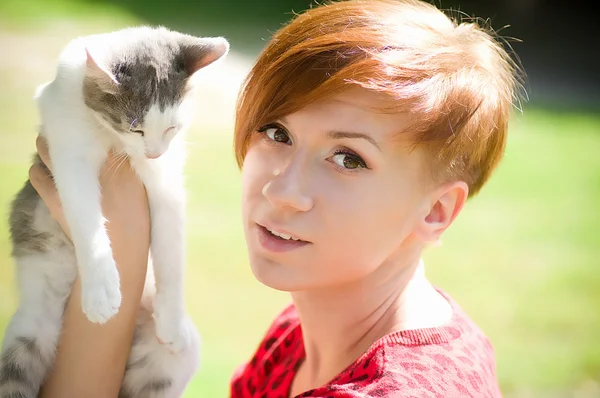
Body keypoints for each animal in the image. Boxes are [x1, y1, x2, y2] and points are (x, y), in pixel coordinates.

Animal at [0, 26, 230, 396]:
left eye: (172, 128)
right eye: (135, 127)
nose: (153, 153)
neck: (113, 137)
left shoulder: (165, 178)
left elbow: (171, 247)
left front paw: (172, 319)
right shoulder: (68, 147)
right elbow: (85, 217)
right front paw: (101, 291)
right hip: (28, 333)